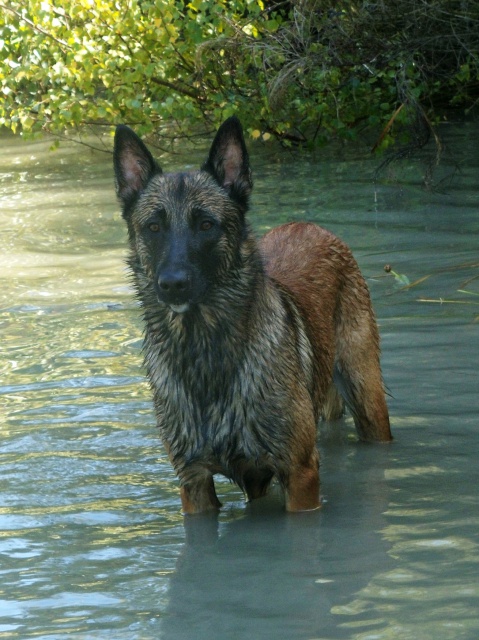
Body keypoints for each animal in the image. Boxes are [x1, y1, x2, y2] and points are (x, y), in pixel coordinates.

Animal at [113, 116, 394, 516]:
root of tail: (309, 224)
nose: (172, 285)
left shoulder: (299, 473)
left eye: (206, 225)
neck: (204, 350)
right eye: (153, 227)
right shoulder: (194, 482)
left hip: (367, 397)